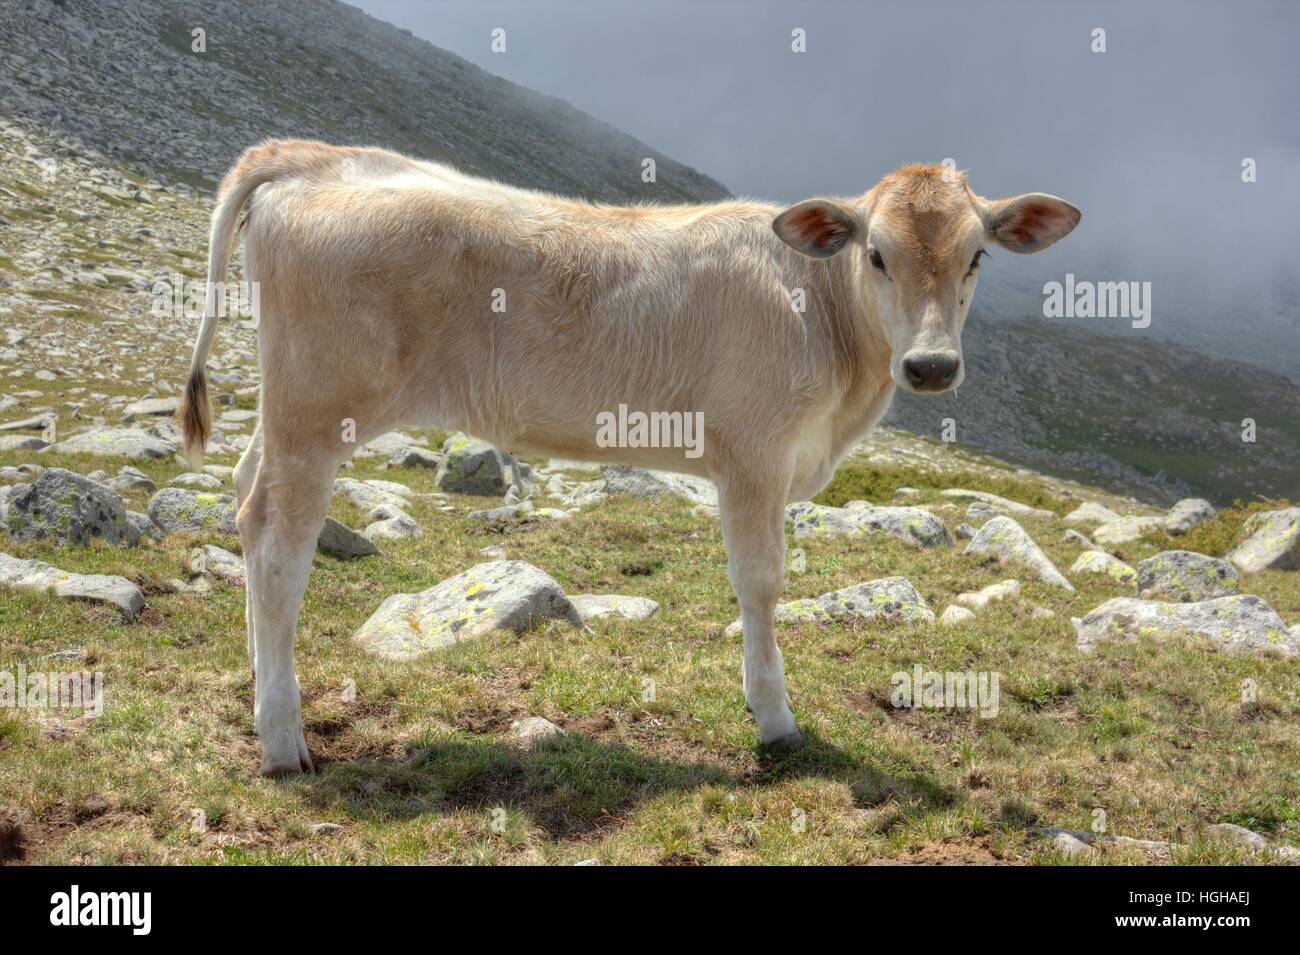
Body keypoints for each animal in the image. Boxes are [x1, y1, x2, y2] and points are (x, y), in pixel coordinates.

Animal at [178, 140, 1081, 779]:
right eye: (877, 254)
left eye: (977, 256)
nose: (930, 365)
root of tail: (315, 156)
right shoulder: (752, 455)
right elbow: (761, 583)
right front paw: (776, 720)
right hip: (316, 409)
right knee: (279, 547)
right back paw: (282, 737)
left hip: (286, 413)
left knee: (245, 499)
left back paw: (258, 687)